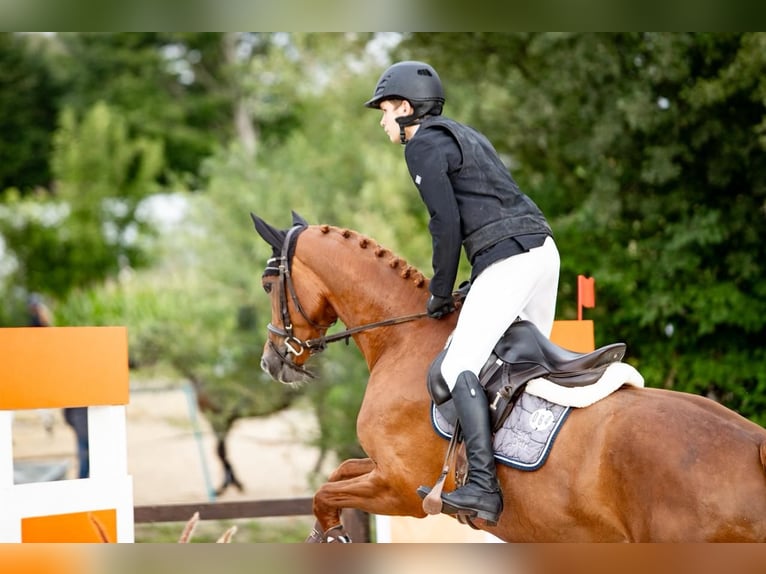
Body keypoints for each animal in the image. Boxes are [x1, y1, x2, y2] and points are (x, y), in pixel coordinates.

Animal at [251, 211, 766, 542]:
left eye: (268, 284)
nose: (271, 360)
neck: (402, 336)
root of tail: (754, 448)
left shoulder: (398, 489)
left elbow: (325, 492)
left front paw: (331, 534)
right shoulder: (382, 471)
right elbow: (339, 472)